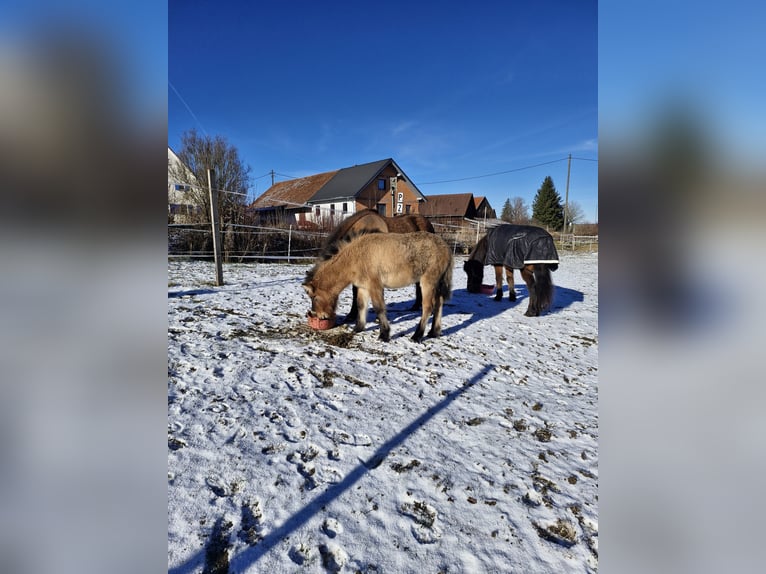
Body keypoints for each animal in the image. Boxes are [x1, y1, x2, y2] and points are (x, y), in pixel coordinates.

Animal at [303, 231, 453, 342]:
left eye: (314, 297)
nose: (319, 316)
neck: (356, 257)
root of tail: (446, 247)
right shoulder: (363, 287)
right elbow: (361, 306)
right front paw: (358, 328)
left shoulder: (374, 286)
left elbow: (379, 308)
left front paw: (384, 335)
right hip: (437, 283)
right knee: (439, 304)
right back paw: (434, 332)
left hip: (428, 282)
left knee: (428, 307)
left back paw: (417, 336)